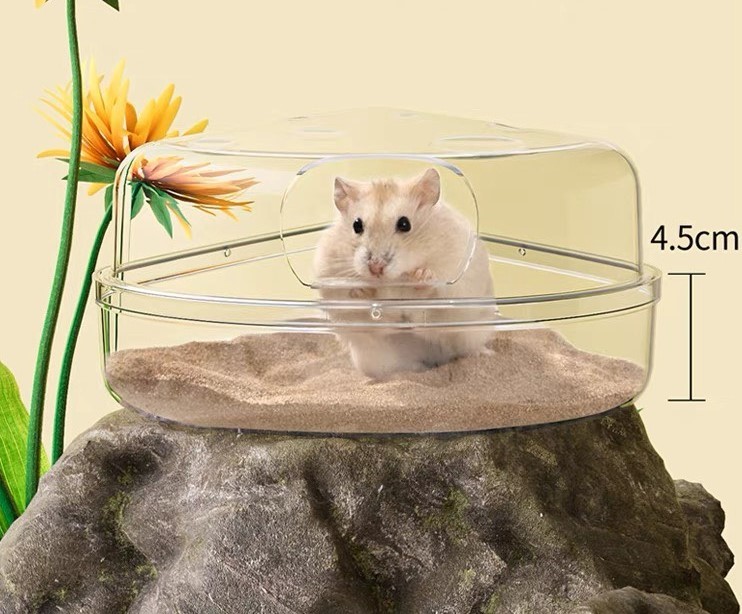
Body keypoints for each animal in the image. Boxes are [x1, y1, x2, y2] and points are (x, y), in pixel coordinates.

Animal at [314, 167, 496, 379]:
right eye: (357, 225)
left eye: (404, 224)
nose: (376, 268)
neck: (394, 280)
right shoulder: (332, 286)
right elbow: (368, 315)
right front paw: (362, 291)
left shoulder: (455, 286)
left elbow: (432, 302)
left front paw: (421, 277)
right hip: (376, 360)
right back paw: (417, 369)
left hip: (473, 333)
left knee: (463, 349)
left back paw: (486, 354)